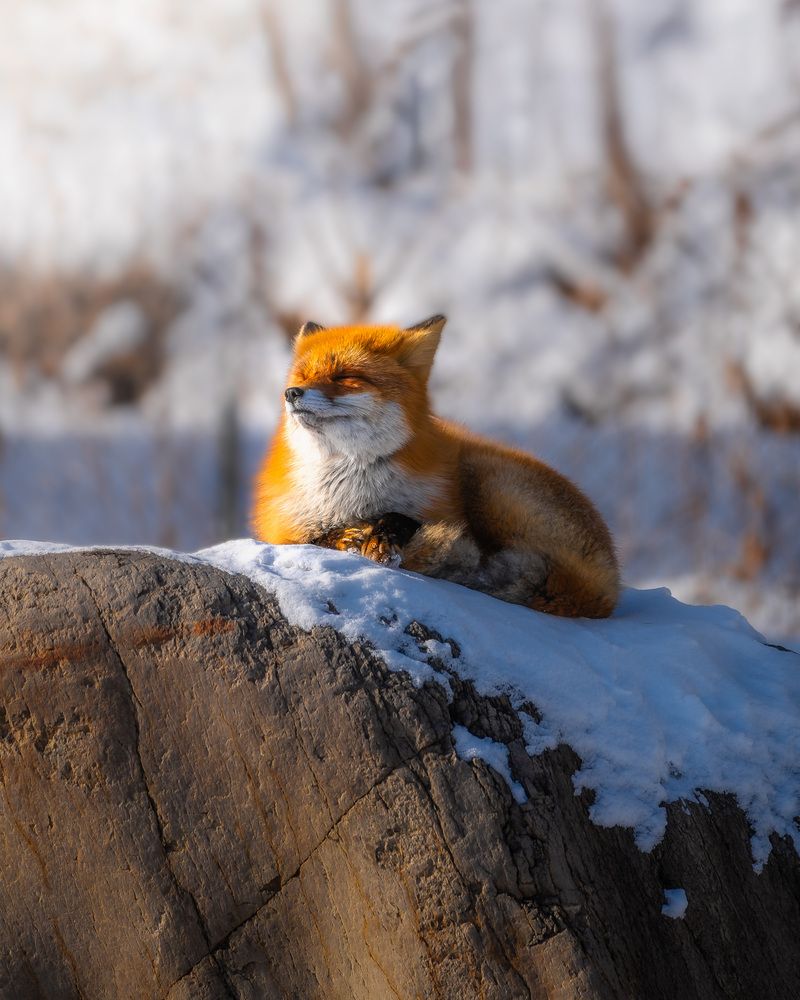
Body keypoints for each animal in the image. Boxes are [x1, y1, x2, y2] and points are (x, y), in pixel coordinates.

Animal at [251, 315, 620, 617]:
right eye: (303, 375)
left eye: (346, 376)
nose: (291, 393)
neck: (350, 494)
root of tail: (609, 585)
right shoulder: (285, 530)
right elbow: (319, 537)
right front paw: (349, 536)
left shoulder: (435, 510)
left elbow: (400, 518)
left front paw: (381, 537)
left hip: (487, 481)